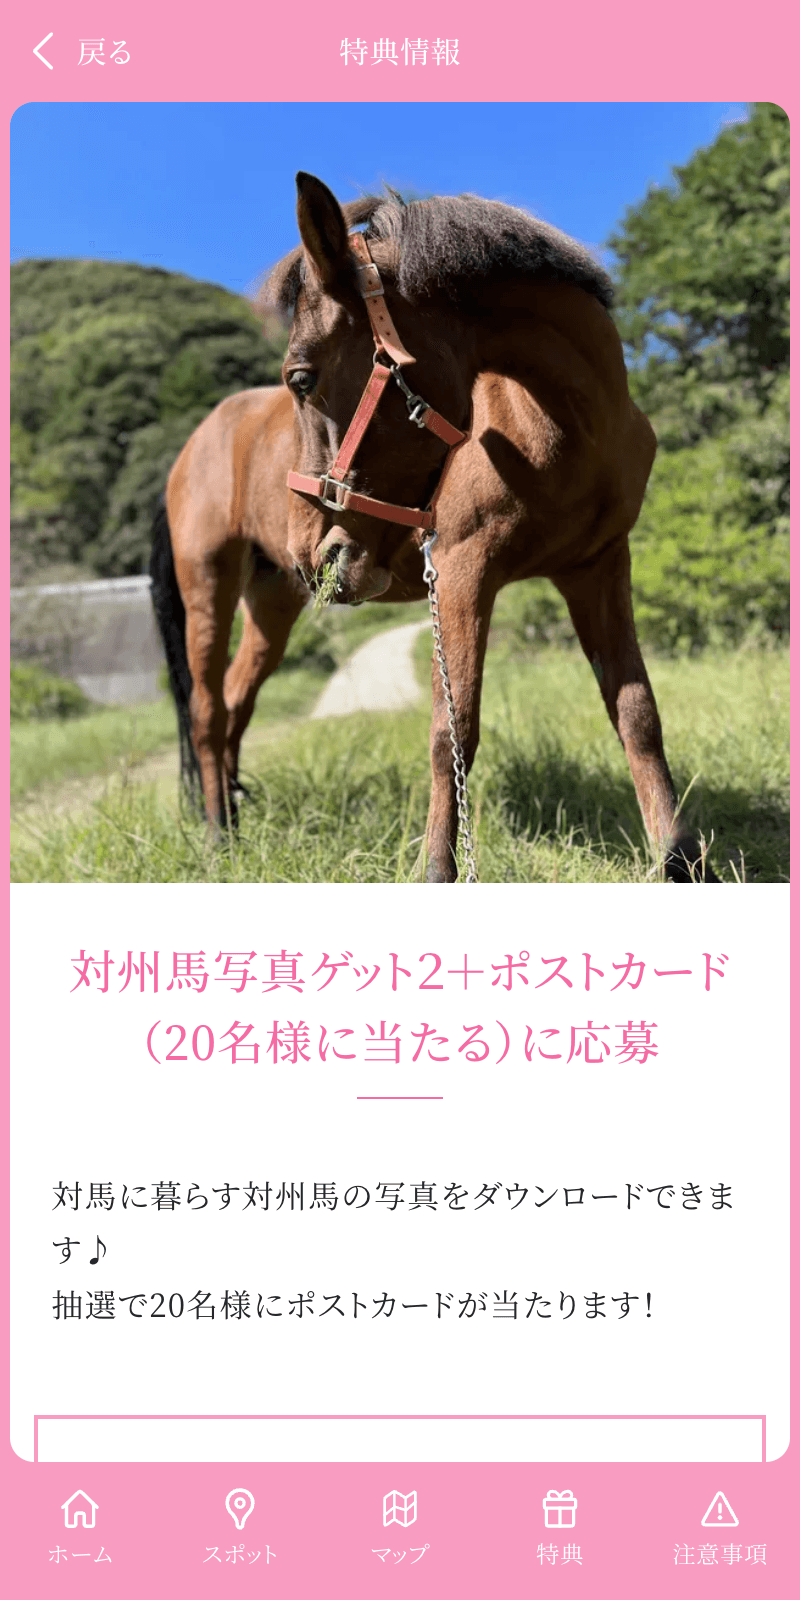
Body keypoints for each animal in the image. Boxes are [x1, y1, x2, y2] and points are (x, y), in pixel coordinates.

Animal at [149, 171, 715, 883]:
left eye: (301, 378)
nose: (317, 551)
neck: (566, 427)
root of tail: (193, 444)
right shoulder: (462, 574)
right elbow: (453, 731)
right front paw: (437, 869)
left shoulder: (599, 566)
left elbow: (637, 711)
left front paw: (680, 859)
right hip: (209, 584)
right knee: (206, 710)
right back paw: (218, 837)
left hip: (272, 600)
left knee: (234, 704)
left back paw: (231, 816)